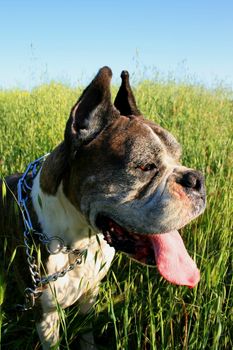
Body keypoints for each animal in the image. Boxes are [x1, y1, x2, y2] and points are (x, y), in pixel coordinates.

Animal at [0, 67, 206, 348]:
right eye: (145, 166)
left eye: (178, 157)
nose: (197, 180)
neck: (77, 244)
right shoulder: (46, 316)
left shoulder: (90, 294)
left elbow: (87, 331)